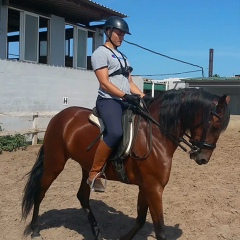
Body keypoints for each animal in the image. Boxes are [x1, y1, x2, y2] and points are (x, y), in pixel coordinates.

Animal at [21, 87, 230, 240]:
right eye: (214, 125)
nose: (203, 158)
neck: (156, 135)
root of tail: (60, 116)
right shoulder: (154, 188)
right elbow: (160, 230)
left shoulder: (146, 187)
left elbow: (140, 219)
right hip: (55, 163)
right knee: (40, 193)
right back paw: (35, 230)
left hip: (87, 168)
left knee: (82, 196)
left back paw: (97, 232)